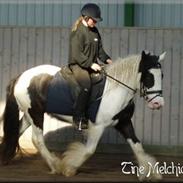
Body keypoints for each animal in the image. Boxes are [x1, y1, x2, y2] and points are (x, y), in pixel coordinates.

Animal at [0, 50, 166, 181]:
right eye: (149, 76)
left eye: (162, 75)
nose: (158, 103)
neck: (116, 89)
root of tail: (20, 77)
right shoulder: (97, 126)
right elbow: (89, 150)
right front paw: (69, 168)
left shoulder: (123, 122)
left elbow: (138, 146)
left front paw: (150, 173)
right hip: (35, 114)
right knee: (37, 139)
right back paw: (55, 165)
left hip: (29, 115)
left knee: (16, 132)